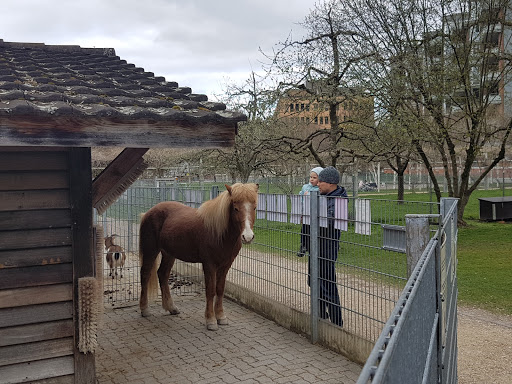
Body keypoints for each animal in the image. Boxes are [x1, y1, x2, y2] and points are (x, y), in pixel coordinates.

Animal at [138, 183, 258, 330]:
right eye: (235, 208)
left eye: (254, 207)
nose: (248, 236)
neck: (219, 232)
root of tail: (148, 213)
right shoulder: (209, 264)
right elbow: (210, 290)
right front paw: (211, 320)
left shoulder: (225, 265)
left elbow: (220, 289)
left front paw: (221, 317)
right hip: (151, 250)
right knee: (145, 274)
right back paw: (145, 309)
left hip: (169, 254)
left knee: (162, 274)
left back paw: (171, 308)